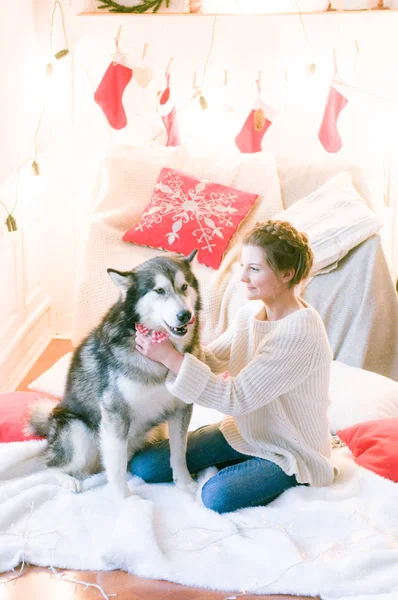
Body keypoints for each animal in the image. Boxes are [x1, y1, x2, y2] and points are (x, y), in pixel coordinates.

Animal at [27, 251, 201, 500]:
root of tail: (52, 417)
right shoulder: (116, 414)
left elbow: (179, 452)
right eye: (159, 290)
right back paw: (68, 480)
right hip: (79, 433)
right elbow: (117, 466)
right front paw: (125, 499)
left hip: (152, 431)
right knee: (48, 466)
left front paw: (185, 483)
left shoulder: (180, 408)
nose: (185, 315)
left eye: (184, 286)